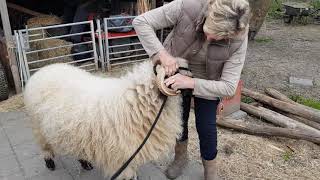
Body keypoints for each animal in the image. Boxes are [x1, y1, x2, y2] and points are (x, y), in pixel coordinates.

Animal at [22, 61, 182, 179]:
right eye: (174, 72)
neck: (134, 102)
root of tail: (43, 69)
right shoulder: (120, 157)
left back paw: (85, 163)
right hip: (38, 126)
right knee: (45, 147)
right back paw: (50, 162)